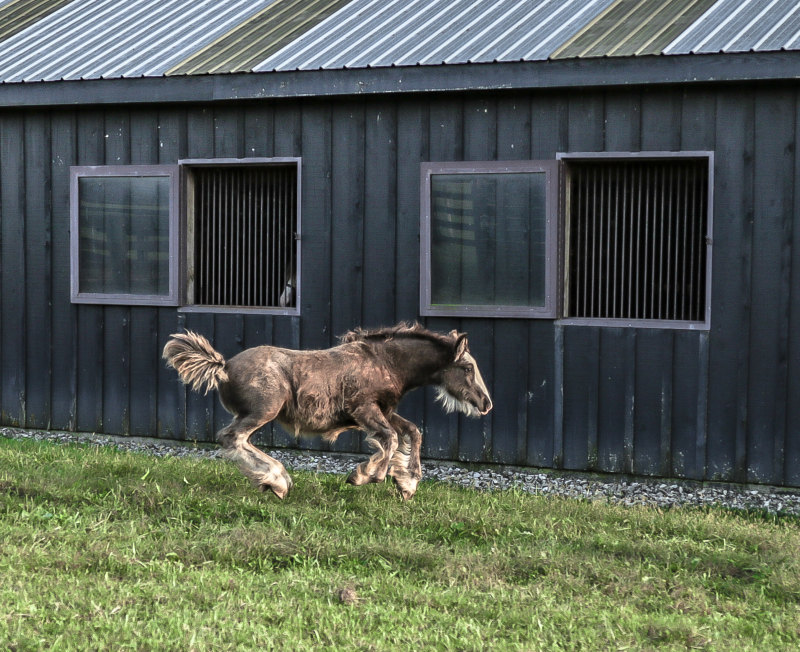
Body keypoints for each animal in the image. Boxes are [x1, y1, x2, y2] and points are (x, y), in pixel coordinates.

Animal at [161, 322, 494, 500]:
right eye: (467, 368)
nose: (486, 404)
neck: (386, 363)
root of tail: (224, 366)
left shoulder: (384, 410)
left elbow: (412, 432)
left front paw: (407, 484)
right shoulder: (364, 409)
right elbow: (390, 440)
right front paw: (366, 476)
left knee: (237, 440)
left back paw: (276, 480)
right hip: (263, 411)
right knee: (232, 439)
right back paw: (277, 481)